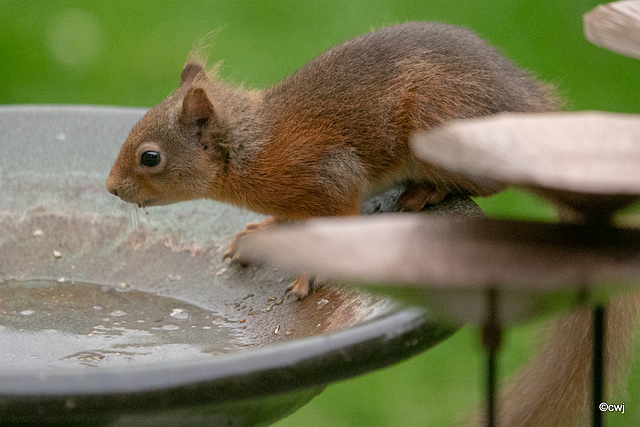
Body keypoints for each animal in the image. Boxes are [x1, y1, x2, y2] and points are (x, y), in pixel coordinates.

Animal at [106, 21, 560, 300]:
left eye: (150, 157)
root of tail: (533, 108)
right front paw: (260, 232)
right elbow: (288, 219)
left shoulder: (333, 174)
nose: (110, 188)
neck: (255, 148)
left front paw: (308, 273)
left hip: (441, 118)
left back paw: (426, 191)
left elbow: (339, 222)